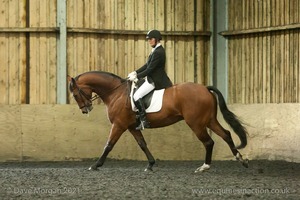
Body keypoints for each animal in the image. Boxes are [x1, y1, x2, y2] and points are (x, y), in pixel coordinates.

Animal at [67, 71, 248, 173]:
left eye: (75, 94)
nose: (85, 109)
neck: (116, 94)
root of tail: (204, 88)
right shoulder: (131, 127)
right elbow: (142, 144)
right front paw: (150, 164)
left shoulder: (118, 125)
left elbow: (109, 145)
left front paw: (96, 165)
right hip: (209, 120)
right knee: (226, 134)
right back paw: (241, 160)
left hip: (196, 123)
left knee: (209, 142)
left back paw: (205, 167)